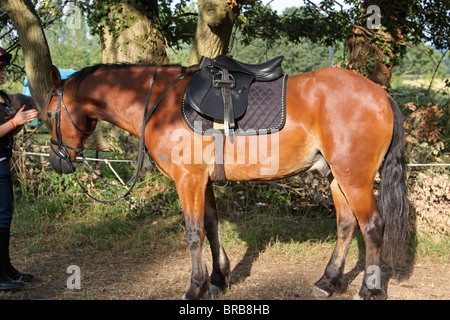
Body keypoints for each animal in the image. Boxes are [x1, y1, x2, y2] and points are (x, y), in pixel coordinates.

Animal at [44, 63, 408, 300]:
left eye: (48, 114)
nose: (57, 161)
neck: (161, 102)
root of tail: (380, 94)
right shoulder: (202, 181)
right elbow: (211, 225)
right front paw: (218, 279)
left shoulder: (188, 180)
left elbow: (194, 234)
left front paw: (196, 287)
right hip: (338, 179)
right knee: (346, 225)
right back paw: (328, 281)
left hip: (354, 178)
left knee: (373, 226)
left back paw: (370, 290)